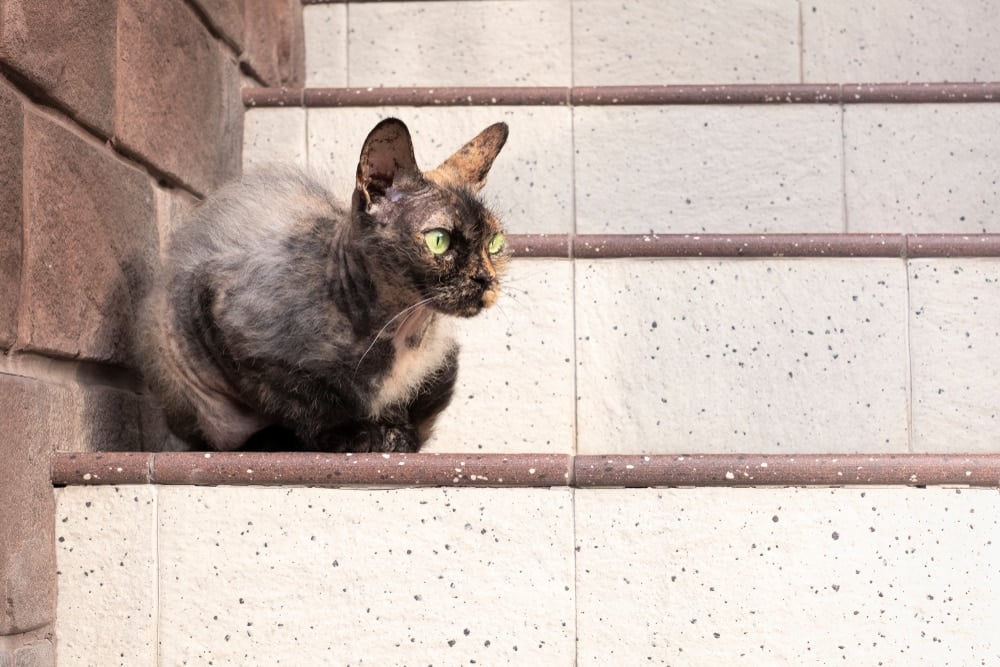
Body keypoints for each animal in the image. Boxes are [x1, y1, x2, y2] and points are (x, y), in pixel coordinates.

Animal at [135, 118, 508, 454]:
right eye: (439, 241)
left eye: (495, 244)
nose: (485, 279)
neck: (400, 330)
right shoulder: (227, 322)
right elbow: (306, 400)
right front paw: (352, 436)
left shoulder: (436, 365)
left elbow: (401, 406)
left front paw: (395, 435)